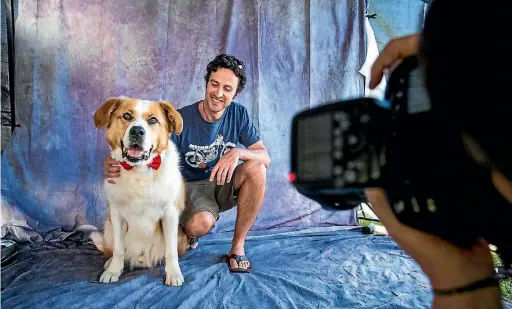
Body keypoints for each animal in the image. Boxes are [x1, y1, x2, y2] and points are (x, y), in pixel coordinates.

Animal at [90, 97, 190, 286]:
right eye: (127, 116)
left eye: (153, 120)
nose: (137, 131)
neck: (139, 171)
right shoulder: (117, 214)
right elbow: (119, 249)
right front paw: (113, 270)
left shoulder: (170, 214)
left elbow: (171, 252)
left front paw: (173, 273)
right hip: (108, 226)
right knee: (112, 249)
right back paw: (109, 262)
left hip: (182, 237)